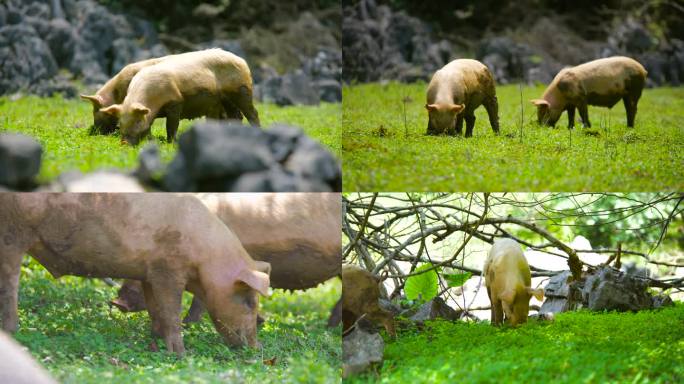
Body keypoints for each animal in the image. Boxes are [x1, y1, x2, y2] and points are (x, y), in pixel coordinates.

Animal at [0, 194, 272, 356]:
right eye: (250, 301)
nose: (258, 347)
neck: (208, 257)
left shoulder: (149, 274)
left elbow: (156, 310)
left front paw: (156, 342)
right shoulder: (168, 270)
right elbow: (171, 312)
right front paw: (180, 354)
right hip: (12, 235)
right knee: (9, 284)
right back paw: (13, 332)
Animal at [100, 48, 260, 144]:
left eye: (137, 121)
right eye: (120, 124)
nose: (124, 144)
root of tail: (242, 61)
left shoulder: (175, 102)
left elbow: (171, 126)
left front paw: (171, 143)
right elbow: (150, 127)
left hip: (242, 90)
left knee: (252, 113)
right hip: (226, 100)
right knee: (236, 116)